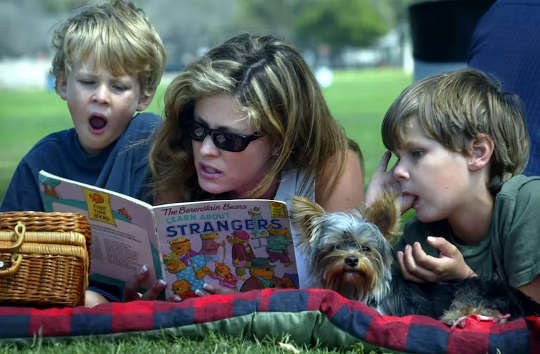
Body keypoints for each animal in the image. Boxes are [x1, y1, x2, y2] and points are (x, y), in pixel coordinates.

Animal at [292, 194, 540, 326]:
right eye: (335, 247)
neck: (355, 289)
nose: (352, 260)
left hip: (473, 293)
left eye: (366, 248)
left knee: (492, 315)